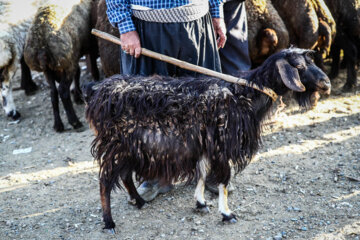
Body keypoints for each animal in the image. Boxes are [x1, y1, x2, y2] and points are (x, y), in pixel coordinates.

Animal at [23, 0, 98, 131]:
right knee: (62, 91)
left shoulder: (74, 56)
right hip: (66, 62)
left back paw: (58, 125)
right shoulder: (88, 48)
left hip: (48, 69)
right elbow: (92, 68)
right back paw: (75, 122)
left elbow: (78, 72)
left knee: (53, 93)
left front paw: (78, 97)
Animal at [83, 47, 330, 231]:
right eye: (299, 66)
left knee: (125, 175)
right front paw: (227, 213)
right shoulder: (221, 145)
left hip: (129, 147)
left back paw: (140, 202)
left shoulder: (203, 145)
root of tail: (97, 91)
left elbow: (202, 172)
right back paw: (109, 222)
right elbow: (223, 180)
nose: (326, 83)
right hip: (115, 144)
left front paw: (201, 203)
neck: (244, 95)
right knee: (105, 181)